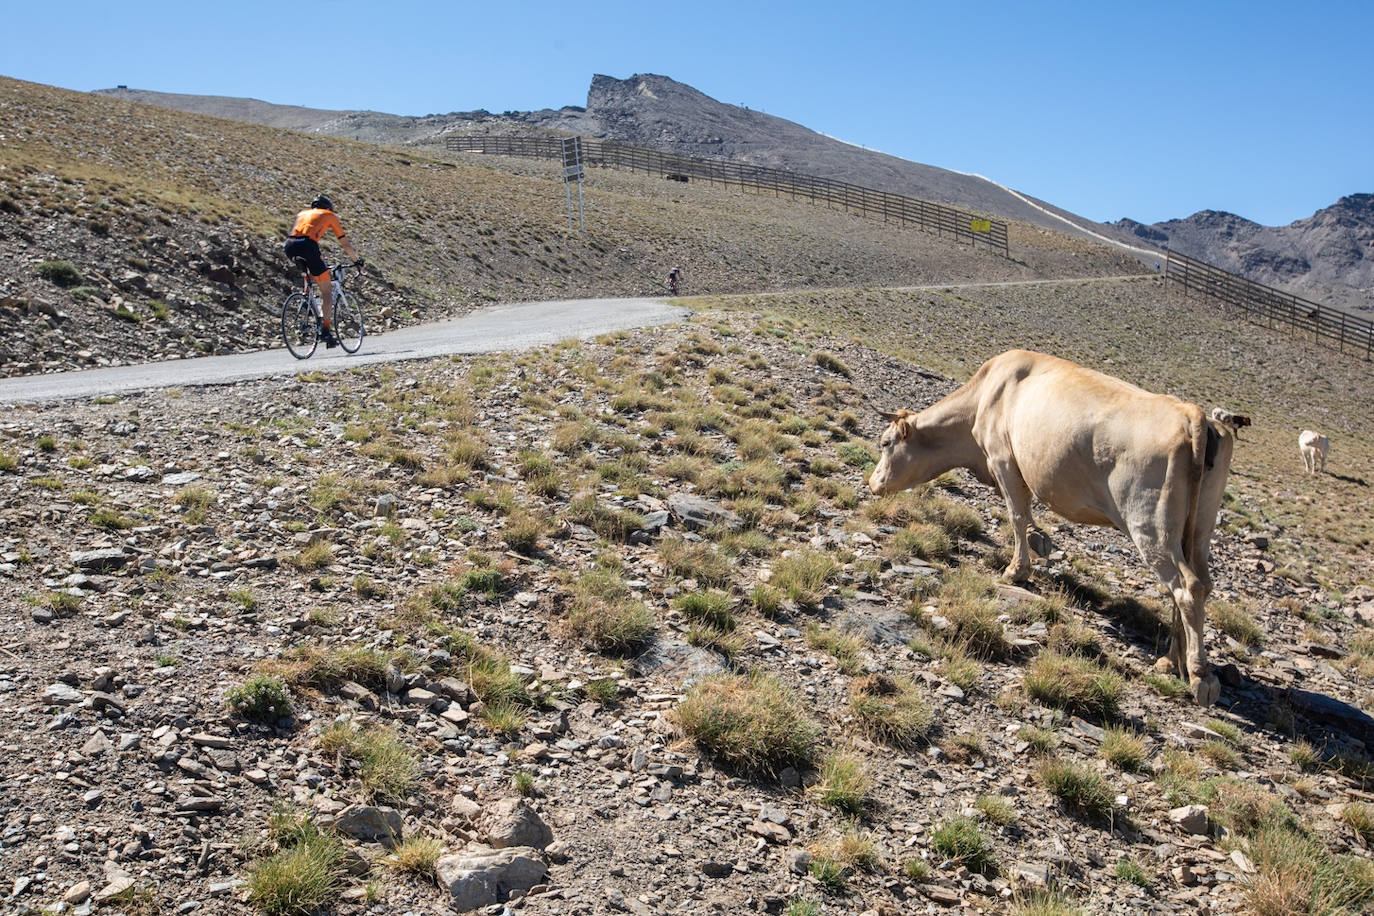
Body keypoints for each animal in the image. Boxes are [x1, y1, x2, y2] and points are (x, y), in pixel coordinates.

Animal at [873, 351, 1242, 708]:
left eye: (886, 443)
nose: (872, 482)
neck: (983, 398)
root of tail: (1191, 414)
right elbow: (1024, 514)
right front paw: (1039, 541)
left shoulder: (1003, 459)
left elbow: (1016, 513)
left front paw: (1017, 569)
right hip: (1197, 528)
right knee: (1192, 585)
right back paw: (1170, 660)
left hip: (1150, 524)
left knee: (1186, 587)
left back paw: (1200, 676)